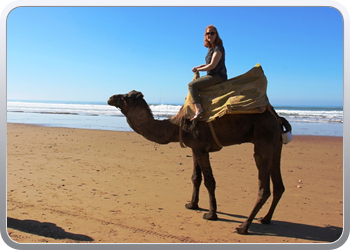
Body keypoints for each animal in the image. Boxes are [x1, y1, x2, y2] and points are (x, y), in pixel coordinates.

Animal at [107, 90, 292, 234]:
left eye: (126, 96)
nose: (110, 98)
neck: (176, 126)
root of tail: (277, 118)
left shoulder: (201, 147)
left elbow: (210, 181)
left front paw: (211, 215)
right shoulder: (194, 148)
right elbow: (196, 177)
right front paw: (192, 205)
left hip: (264, 139)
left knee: (264, 187)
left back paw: (243, 227)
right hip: (276, 144)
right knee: (279, 185)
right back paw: (265, 219)